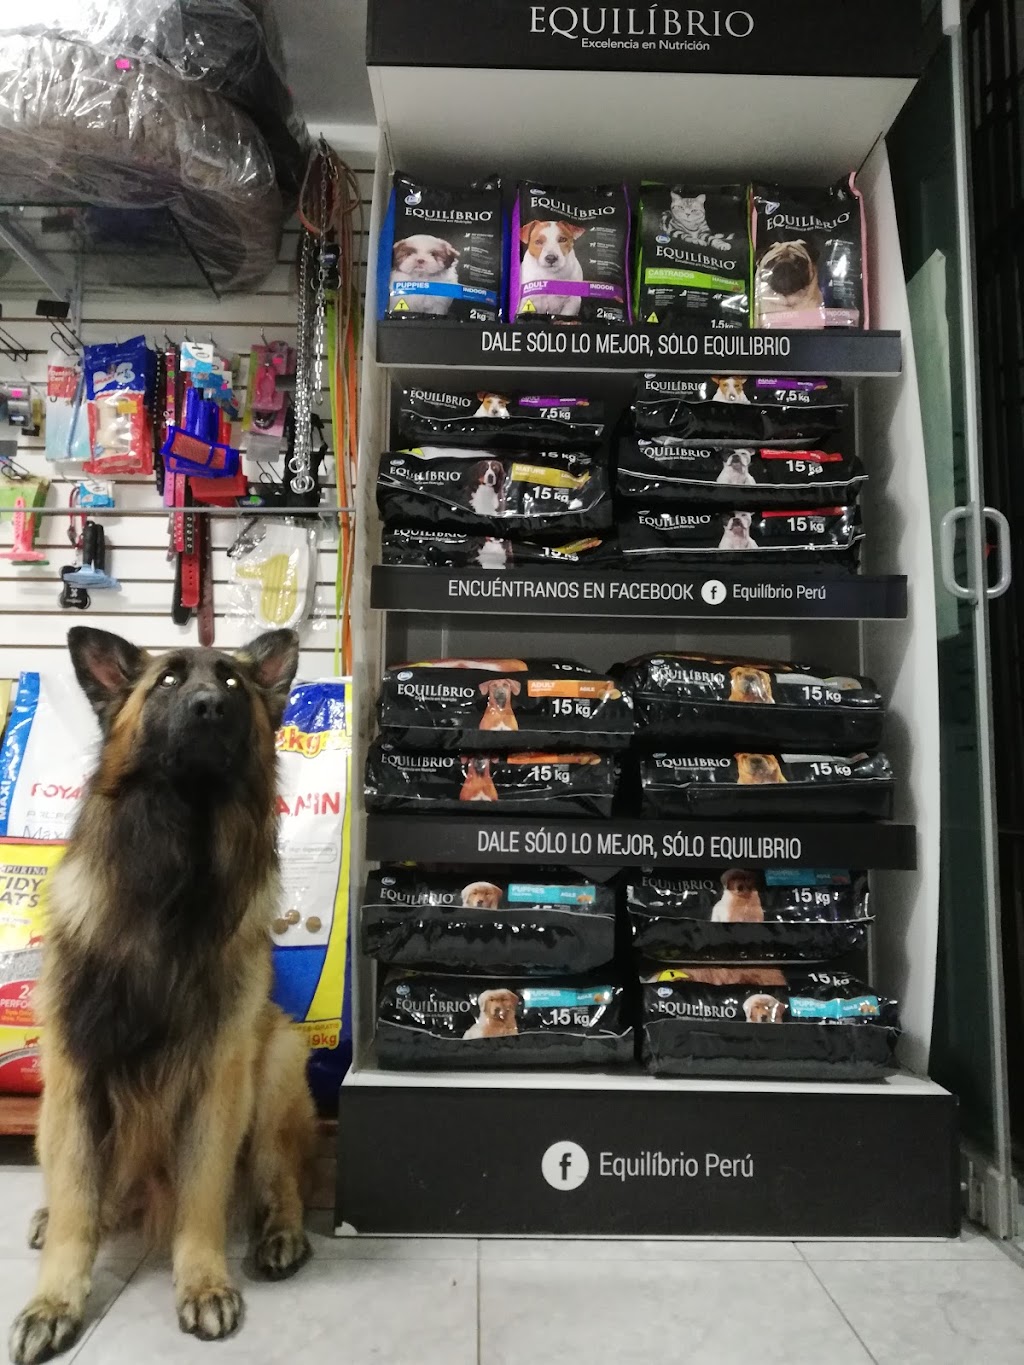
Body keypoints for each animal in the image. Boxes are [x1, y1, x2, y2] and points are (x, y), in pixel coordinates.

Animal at [9, 627, 315, 1365]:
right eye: (169, 681)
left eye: (232, 682)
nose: (209, 707)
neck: (177, 871)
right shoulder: (77, 1076)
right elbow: (77, 1202)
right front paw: (55, 1299)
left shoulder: (216, 1081)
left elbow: (203, 1195)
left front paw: (203, 1281)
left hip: (277, 1061)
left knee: (280, 1175)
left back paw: (281, 1231)